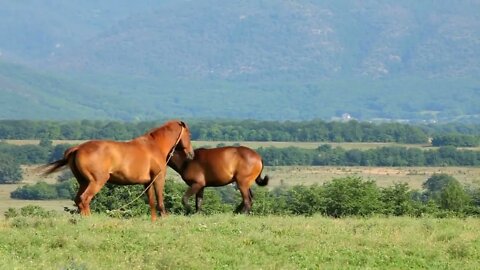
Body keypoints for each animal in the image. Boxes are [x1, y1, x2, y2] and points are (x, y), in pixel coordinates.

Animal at [41, 119, 193, 219]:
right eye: (189, 134)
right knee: (85, 199)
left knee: (78, 200)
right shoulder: (158, 178)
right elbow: (160, 201)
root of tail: (77, 148)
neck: (154, 145)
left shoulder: (147, 183)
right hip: (97, 181)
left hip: (83, 182)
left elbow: (151, 202)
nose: (191, 154)